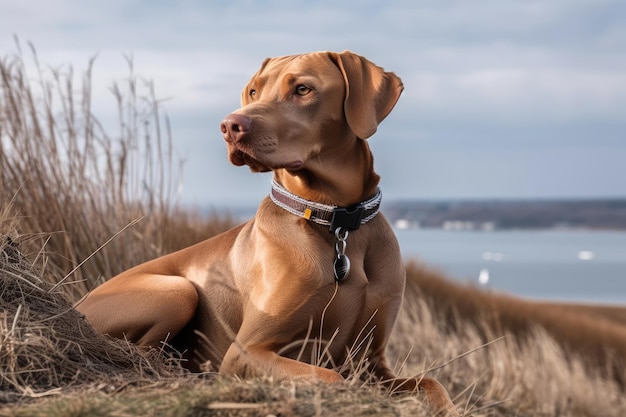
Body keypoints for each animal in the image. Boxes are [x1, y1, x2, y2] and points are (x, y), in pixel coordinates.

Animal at [78, 50, 458, 414]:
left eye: (302, 89)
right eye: (253, 91)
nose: (230, 125)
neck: (338, 223)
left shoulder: (372, 362)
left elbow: (432, 385)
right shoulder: (246, 352)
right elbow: (330, 378)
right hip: (176, 290)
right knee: (143, 352)